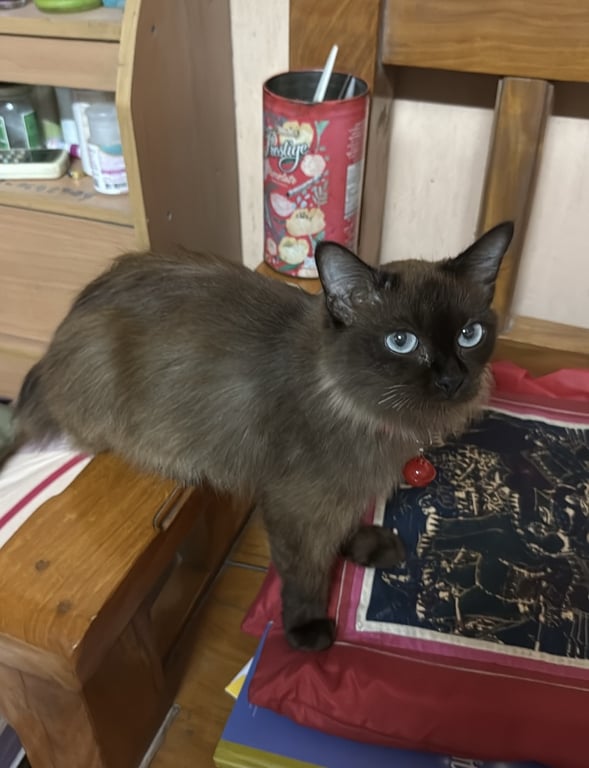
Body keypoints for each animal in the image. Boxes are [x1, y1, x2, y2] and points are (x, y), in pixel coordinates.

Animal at [9, 221, 513, 651]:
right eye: (402, 342)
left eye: (469, 334)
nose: (452, 379)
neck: (366, 411)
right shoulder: (295, 503)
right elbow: (305, 570)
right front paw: (307, 628)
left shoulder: (339, 492)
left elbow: (343, 524)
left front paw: (362, 545)